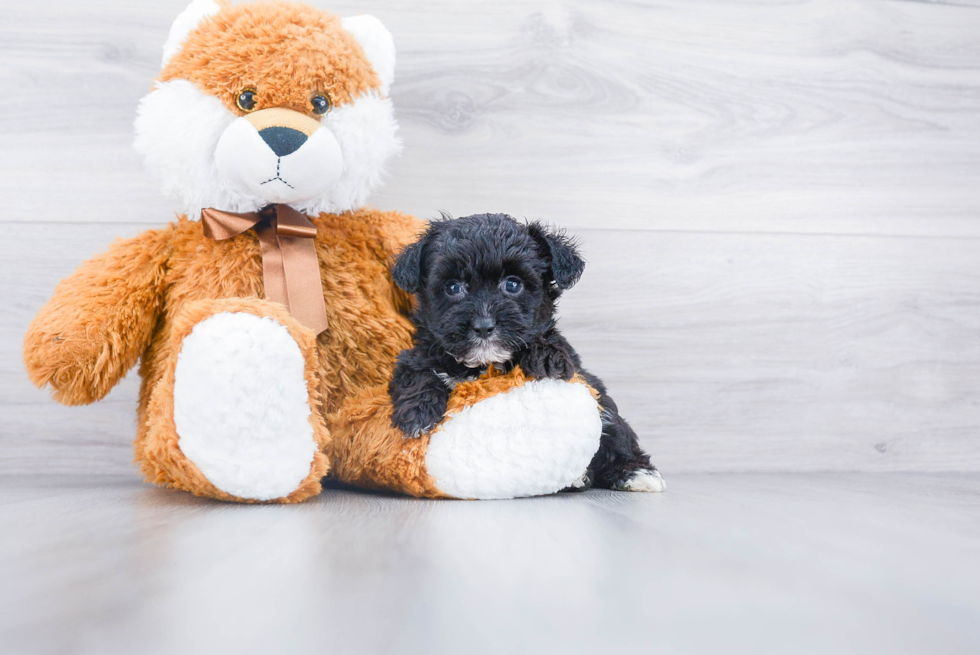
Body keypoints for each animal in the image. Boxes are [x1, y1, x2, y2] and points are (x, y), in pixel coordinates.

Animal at [386, 214, 664, 492]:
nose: (483, 325)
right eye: (453, 288)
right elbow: (417, 371)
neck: (485, 364)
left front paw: (546, 357)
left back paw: (636, 473)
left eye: (512, 284)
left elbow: (550, 342)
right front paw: (418, 412)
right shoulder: (416, 354)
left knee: (616, 434)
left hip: (600, 400)